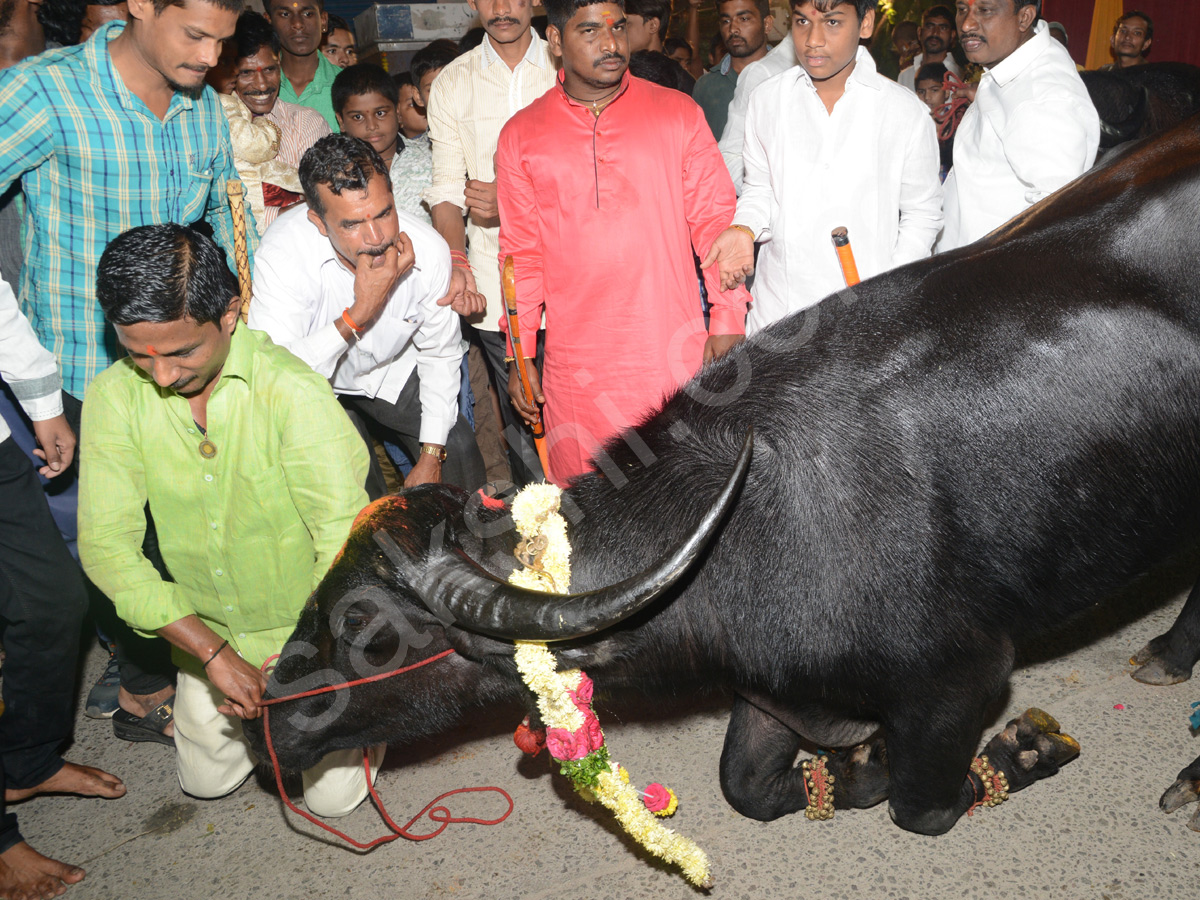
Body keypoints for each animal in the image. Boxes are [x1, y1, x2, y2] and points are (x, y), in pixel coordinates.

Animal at [243, 114, 1200, 840]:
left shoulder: (961, 680)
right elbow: (748, 787)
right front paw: (853, 767)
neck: (759, 525)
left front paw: (1017, 755)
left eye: (367, 630)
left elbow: (922, 807)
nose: (263, 719)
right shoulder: (775, 690)